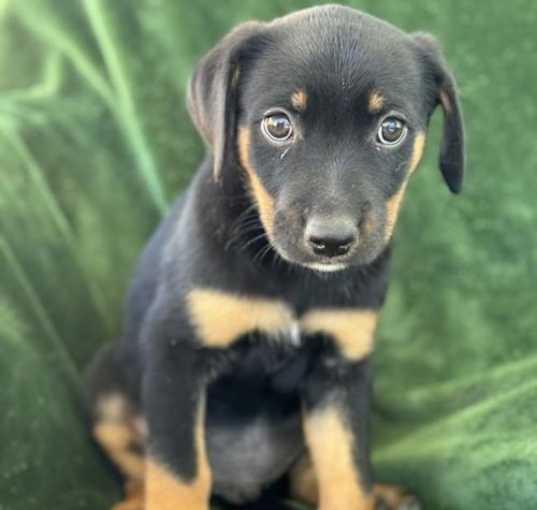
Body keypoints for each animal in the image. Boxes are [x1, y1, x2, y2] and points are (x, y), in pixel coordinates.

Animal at [86, 4, 462, 510]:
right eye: (278, 124)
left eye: (391, 129)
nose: (331, 241)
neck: (292, 277)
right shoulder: (175, 355)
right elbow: (178, 475)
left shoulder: (339, 370)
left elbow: (347, 474)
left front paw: (362, 491)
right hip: (105, 383)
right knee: (136, 469)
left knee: (306, 477)